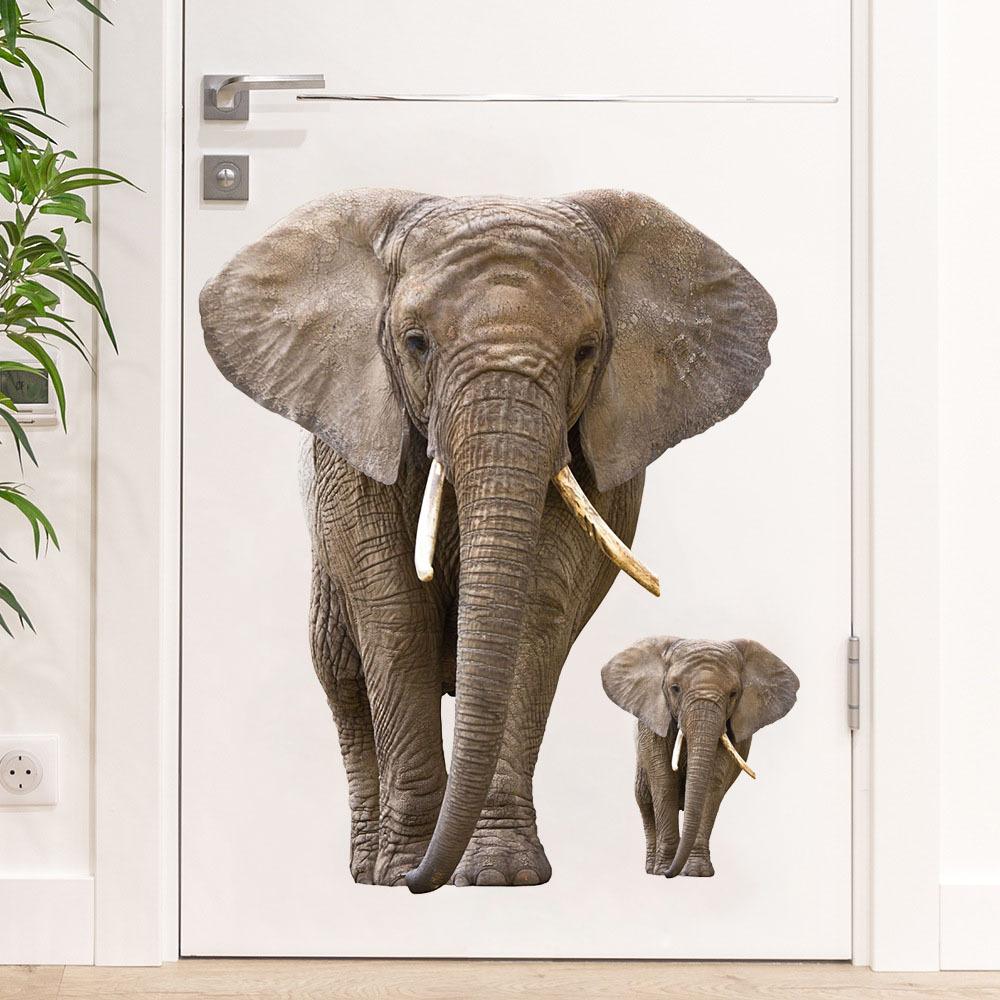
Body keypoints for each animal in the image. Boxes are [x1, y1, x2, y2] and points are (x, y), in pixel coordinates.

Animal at [198, 188, 777, 893]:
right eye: (415, 343)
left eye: (587, 351)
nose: (423, 879)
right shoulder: (354, 440)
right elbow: (393, 613)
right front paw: (403, 871)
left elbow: (533, 615)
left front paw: (502, 875)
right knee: (339, 670)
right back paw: (367, 870)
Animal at [601, 636, 799, 878]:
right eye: (675, 688)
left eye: (733, 693)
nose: (670, 874)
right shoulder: (653, 721)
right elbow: (664, 780)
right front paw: (664, 868)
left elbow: (713, 781)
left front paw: (696, 872)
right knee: (644, 799)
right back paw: (652, 869)